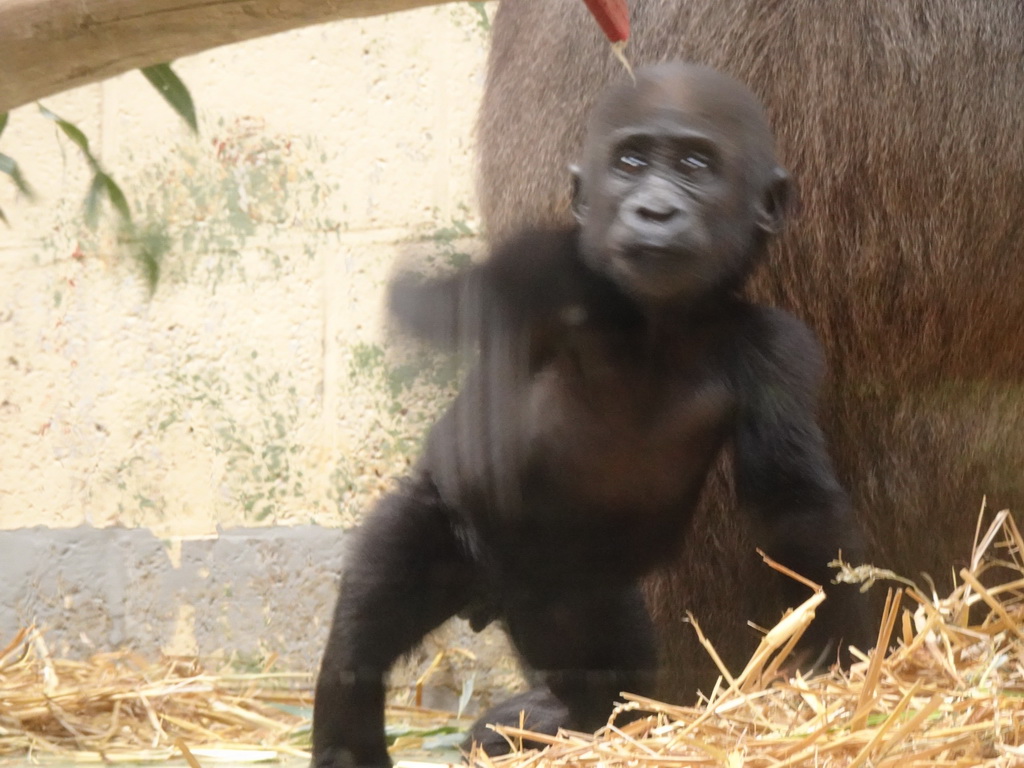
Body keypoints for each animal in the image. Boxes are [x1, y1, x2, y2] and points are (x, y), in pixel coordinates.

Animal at [313, 61, 872, 768]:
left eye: (695, 164)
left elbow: (794, 501)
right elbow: (458, 309)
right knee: (371, 619)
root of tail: (489, 595)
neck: (658, 324)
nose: (653, 209)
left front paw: (847, 646)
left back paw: (560, 720)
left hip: (584, 594)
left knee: (608, 675)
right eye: (630, 161)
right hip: (445, 527)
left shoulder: (779, 348)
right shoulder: (551, 262)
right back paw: (350, 740)